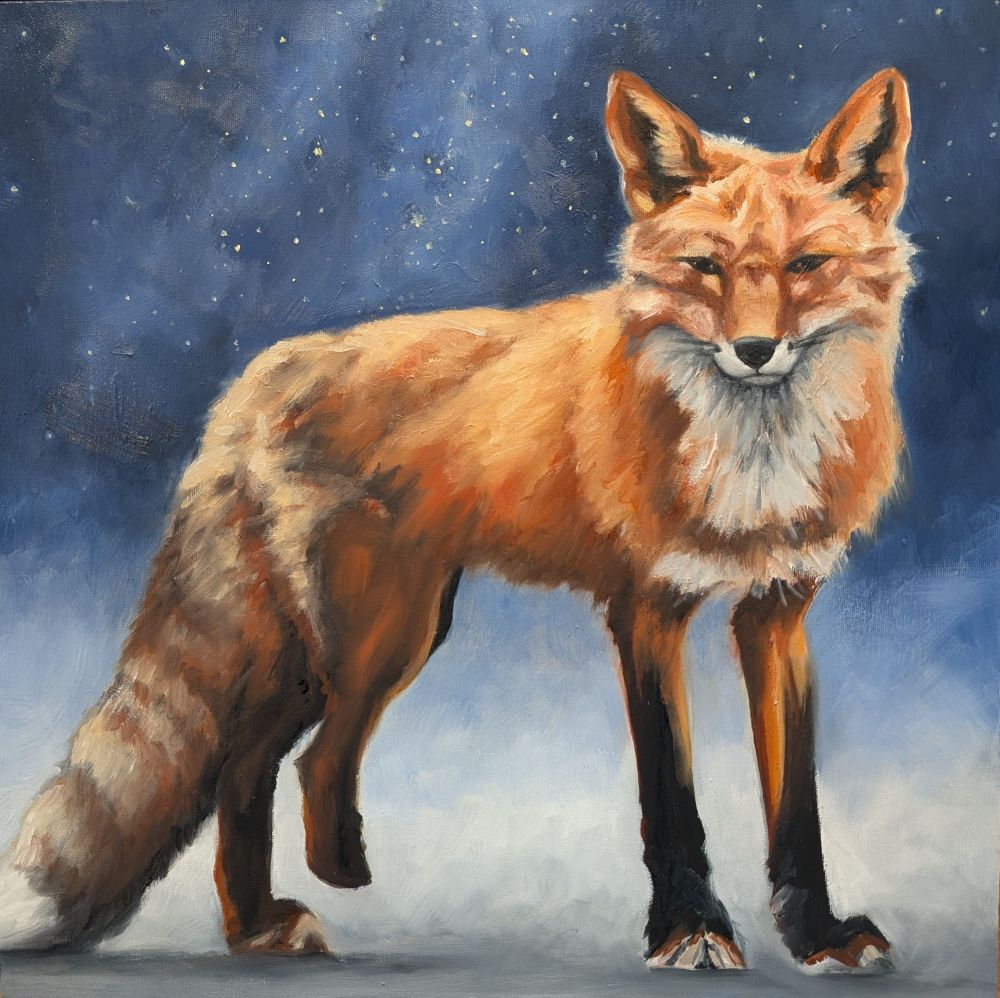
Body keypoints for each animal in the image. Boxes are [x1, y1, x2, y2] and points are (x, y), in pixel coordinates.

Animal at [0, 67, 912, 973]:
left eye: (808, 265)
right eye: (705, 269)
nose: (756, 351)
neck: (753, 465)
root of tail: (253, 378)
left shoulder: (777, 612)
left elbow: (797, 807)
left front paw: (816, 935)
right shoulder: (646, 610)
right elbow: (672, 798)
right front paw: (690, 928)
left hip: (383, 638)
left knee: (288, 763)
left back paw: (273, 915)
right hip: (356, 642)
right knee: (262, 763)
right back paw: (279, 912)